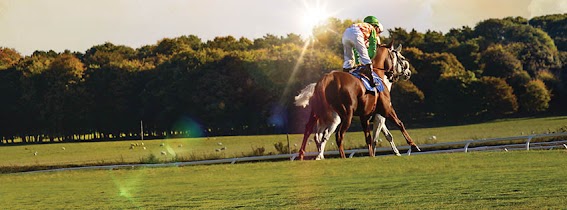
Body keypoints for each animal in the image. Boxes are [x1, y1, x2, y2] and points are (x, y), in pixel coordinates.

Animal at [292, 40, 422, 160]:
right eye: (402, 58)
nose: (408, 73)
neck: (378, 74)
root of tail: (326, 79)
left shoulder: (366, 116)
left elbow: (371, 138)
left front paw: (374, 154)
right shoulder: (385, 111)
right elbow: (398, 125)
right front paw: (413, 146)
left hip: (318, 114)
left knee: (311, 131)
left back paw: (304, 155)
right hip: (343, 116)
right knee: (335, 135)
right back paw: (337, 156)